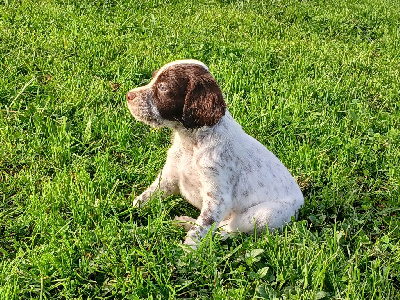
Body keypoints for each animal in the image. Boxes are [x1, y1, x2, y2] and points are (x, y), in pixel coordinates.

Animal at [126, 59, 304, 247]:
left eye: (163, 87)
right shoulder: (170, 176)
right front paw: (130, 210)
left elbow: (202, 228)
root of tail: (301, 205)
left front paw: (187, 252)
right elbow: (150, 193)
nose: (128, 95)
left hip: (264, 214)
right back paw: (185, 221)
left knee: (230, 229)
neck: (191, 144)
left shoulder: (217, 197)